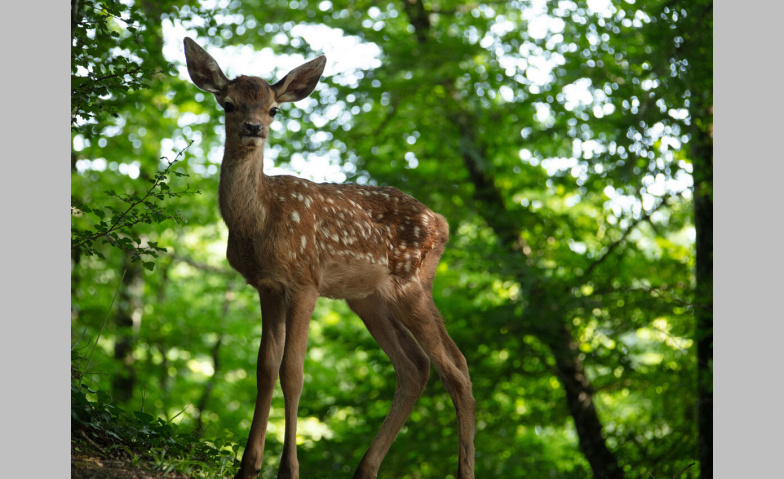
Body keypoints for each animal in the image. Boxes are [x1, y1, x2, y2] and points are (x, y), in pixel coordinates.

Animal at [184, 37, 474, 479]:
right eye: (228, 104)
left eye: (274, 108)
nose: (254, 128)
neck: (260, 219)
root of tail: (441, 223)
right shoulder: (267, 285)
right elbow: (265, 367)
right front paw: (248, 466)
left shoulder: (306, 281)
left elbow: (293, 371)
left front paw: (288, 469)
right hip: (367, 299)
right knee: (415, 366)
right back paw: (365, 469)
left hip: (410, 284)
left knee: (455, 367)